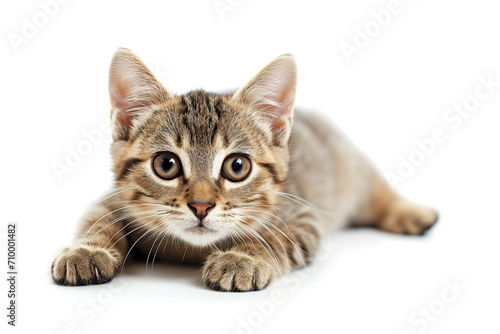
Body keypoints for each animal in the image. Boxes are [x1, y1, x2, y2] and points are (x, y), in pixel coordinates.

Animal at [51, 49, 438, 292]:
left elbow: (272, 237)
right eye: (166, 165)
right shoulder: (113, 198)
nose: (201, 206)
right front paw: (86, 251)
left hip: (351, 166)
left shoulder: (301, 216)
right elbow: (97, 218)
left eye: (237, 167)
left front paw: (241, 259)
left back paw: (412, 213)